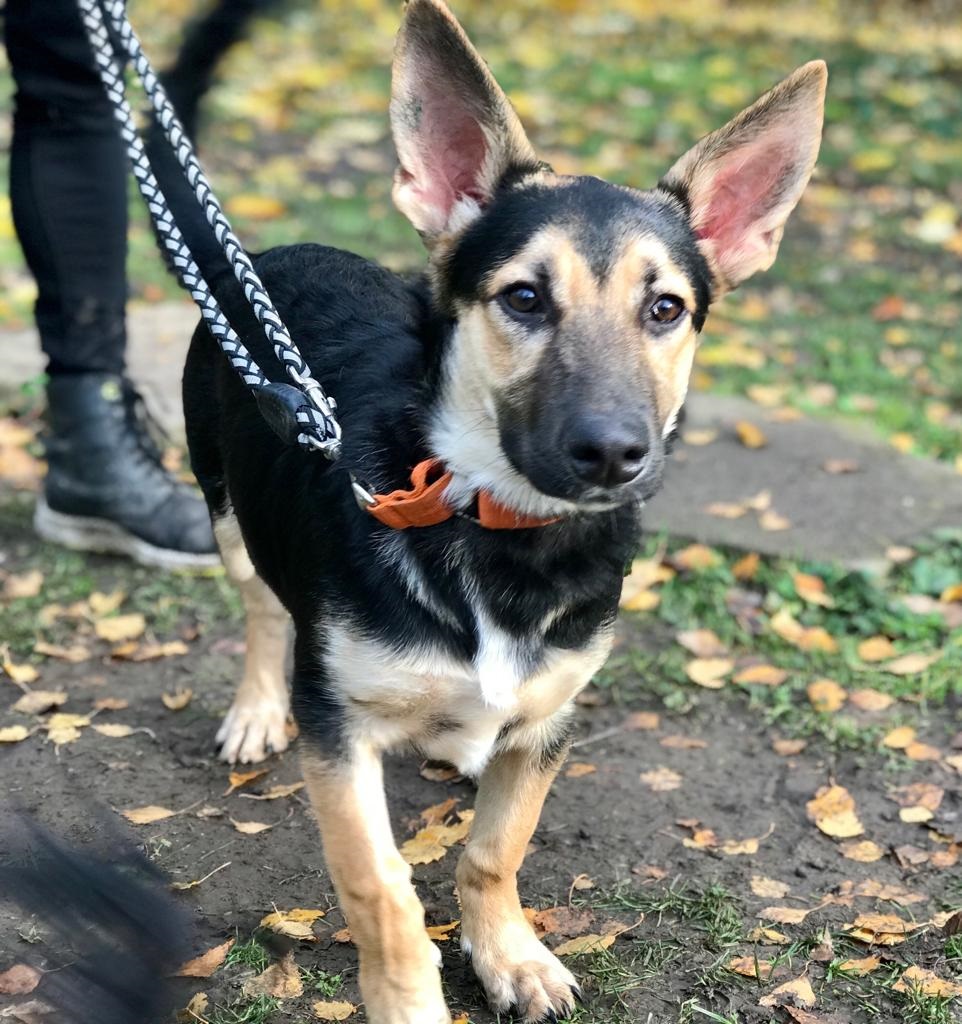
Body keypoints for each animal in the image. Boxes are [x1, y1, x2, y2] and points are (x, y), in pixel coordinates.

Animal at [183, 3, 826, 1020]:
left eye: (666, 309)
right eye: (523, 297)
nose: (612, 452)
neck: (502, 535)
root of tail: (261, 252)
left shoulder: (548, 722)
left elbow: (494, 850)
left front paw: (508, 956)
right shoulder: (340, 731)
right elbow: (379, 886)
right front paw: (407, 999)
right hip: (225, 511)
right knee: (260, 608)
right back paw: (254, 709)